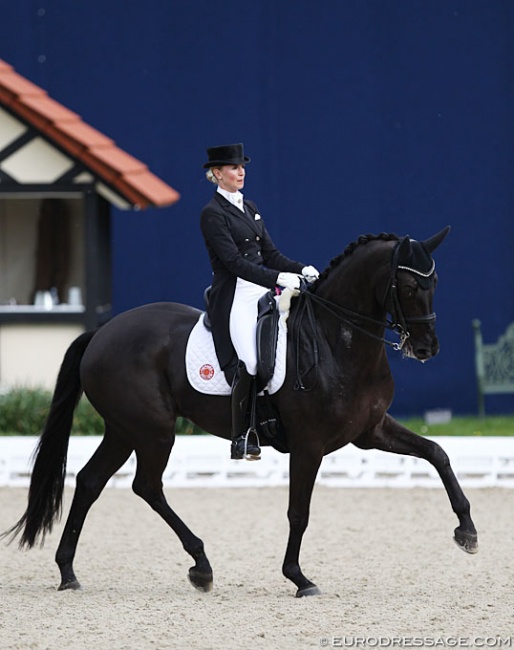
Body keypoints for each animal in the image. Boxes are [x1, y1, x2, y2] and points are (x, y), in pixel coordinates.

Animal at [3, 225, 476, 596]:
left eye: (436, 282)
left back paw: (68, 572)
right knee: (146, 486)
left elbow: (438, 453)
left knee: (90, 481)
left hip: (124, 430)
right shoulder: (309, 445)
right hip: (153, 430)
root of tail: (101, 333)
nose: (427, 348)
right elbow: (299, 511)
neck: (334, 340)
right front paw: (299, 577)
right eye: (410, 287)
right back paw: (201, 566)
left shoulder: (371, 431)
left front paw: (467, 532)